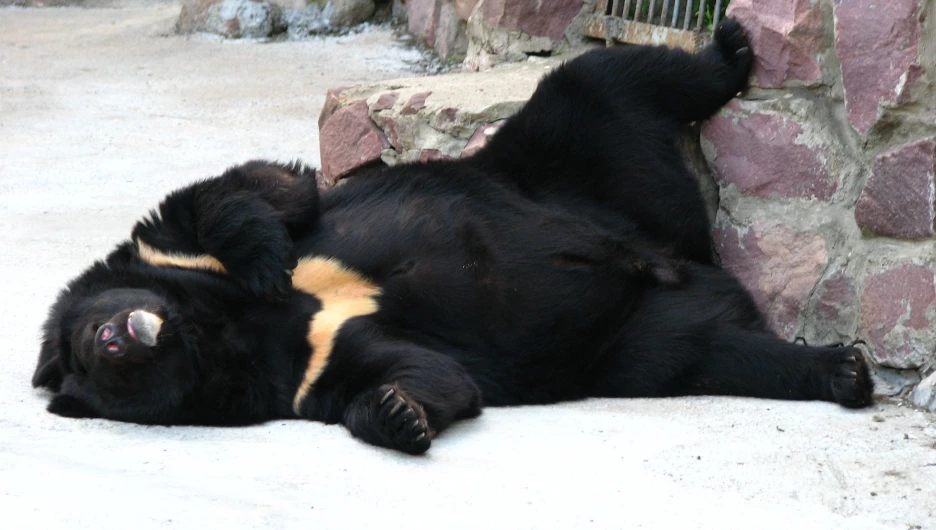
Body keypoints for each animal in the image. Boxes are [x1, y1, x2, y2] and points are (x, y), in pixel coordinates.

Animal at [33, 18, 872, 452]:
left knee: (612, 80)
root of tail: (676, 259)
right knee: (718, 355)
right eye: (97, 365)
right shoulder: (297, 369)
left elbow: (244, 193)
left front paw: (268, 260)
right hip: (634, 340)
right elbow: (412, 369)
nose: (116, 336)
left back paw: (729, 46)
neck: (219, 325)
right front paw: (399, 414)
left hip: (566, 160)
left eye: (85, 339)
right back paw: (841, 372)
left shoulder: (164, 252)